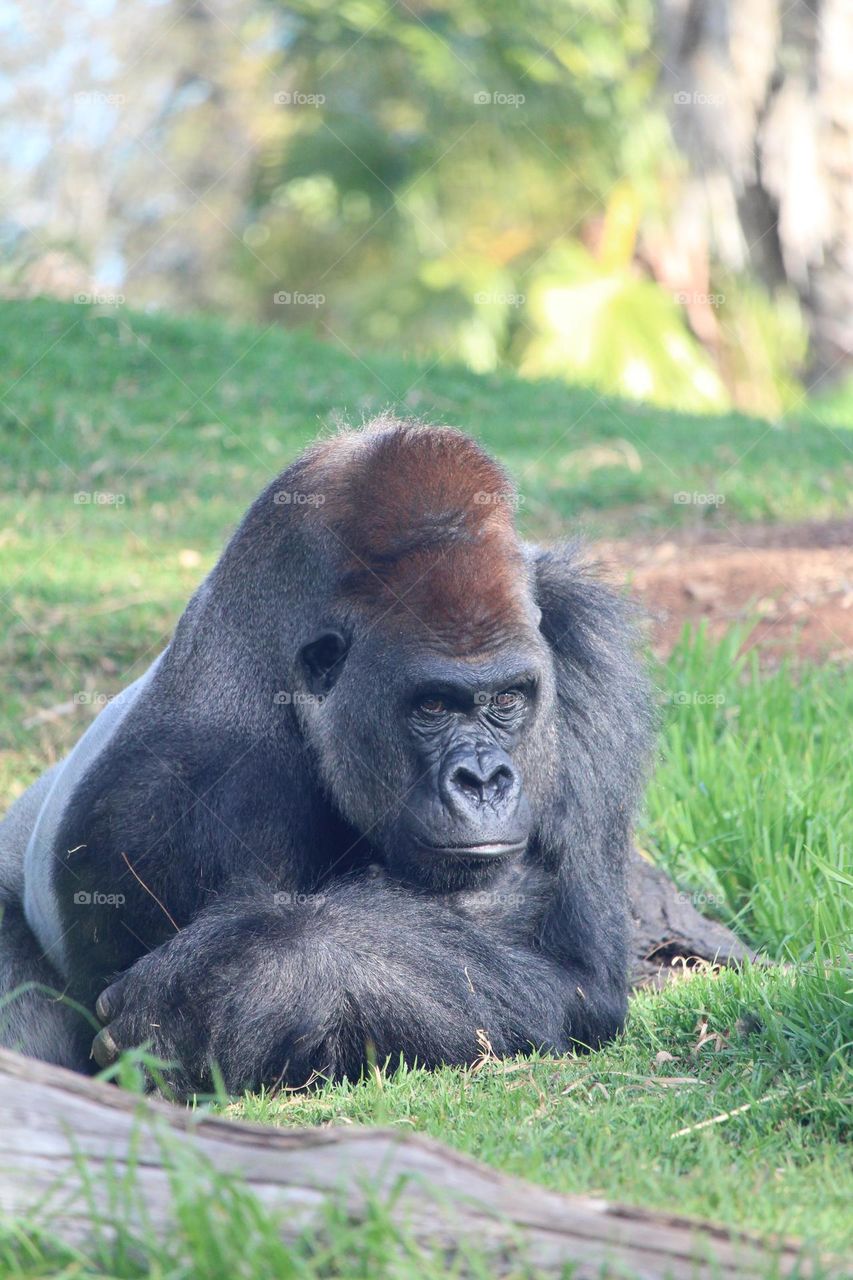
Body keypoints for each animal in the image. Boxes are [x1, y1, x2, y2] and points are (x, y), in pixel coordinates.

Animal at [1, 417, 650, 1090]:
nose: (484, 779)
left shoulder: (580, 636)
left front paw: (260, 975)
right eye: (432, 706)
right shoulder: (180, 797)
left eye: (506, 698)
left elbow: (579, 976)